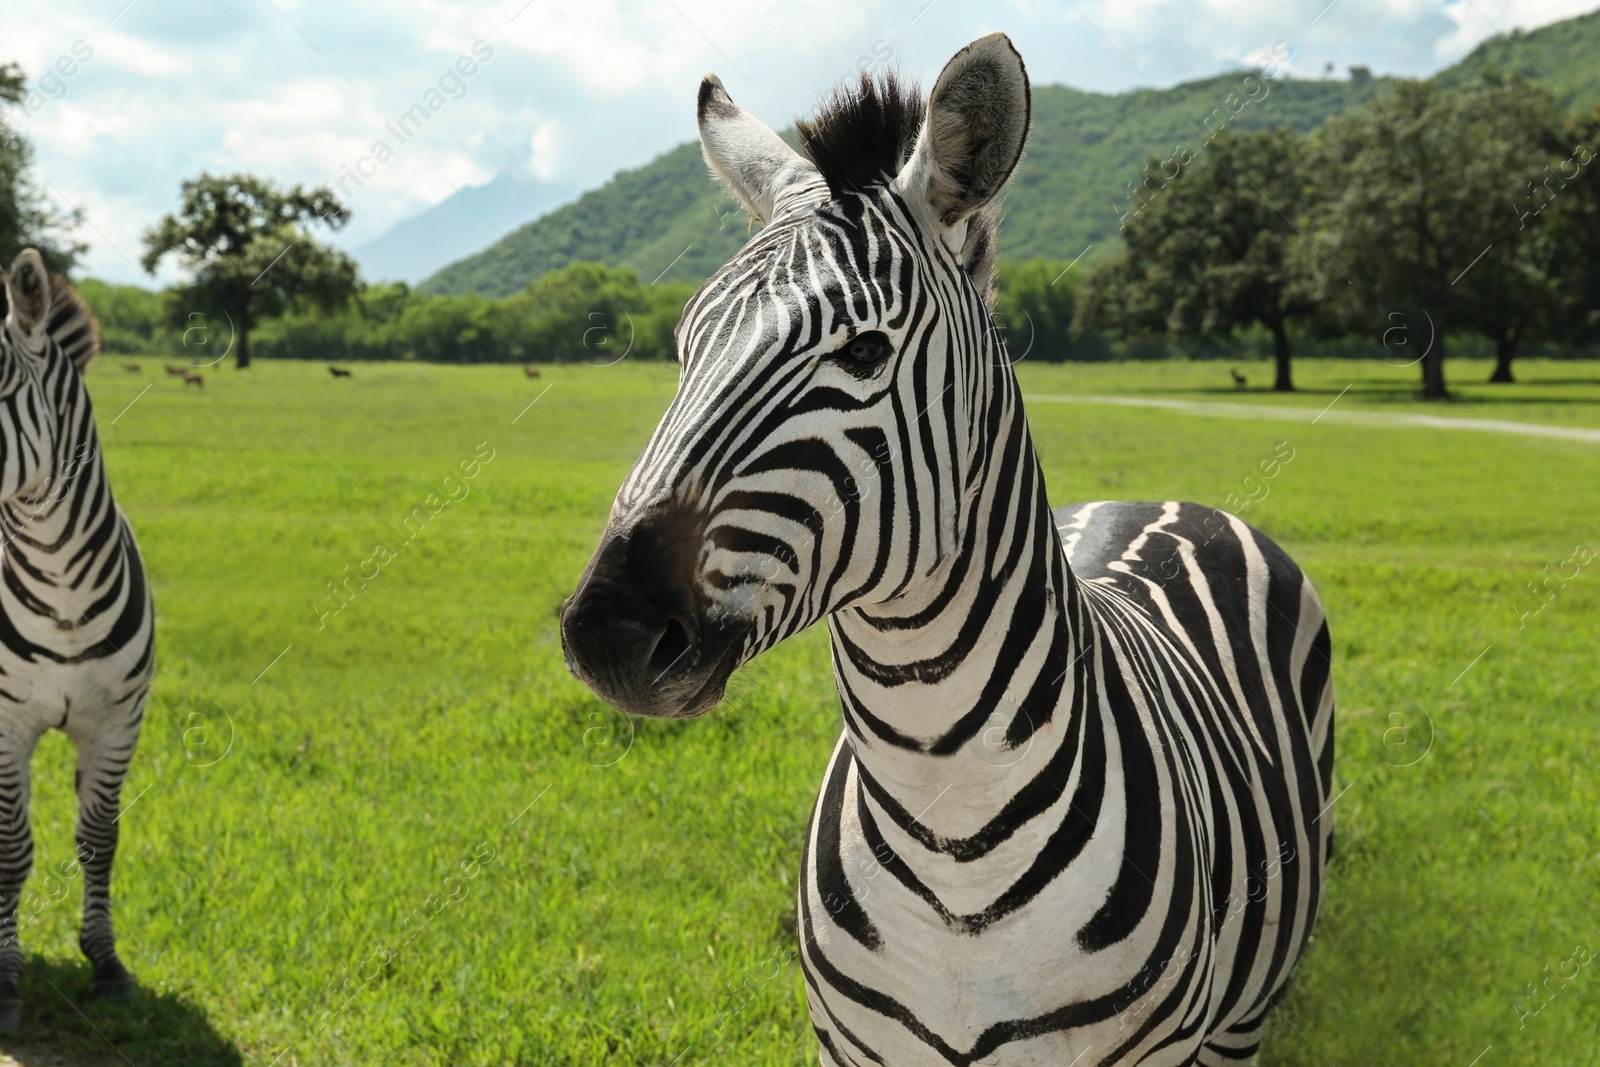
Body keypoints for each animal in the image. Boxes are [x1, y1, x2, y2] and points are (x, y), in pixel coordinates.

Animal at [556, 33, 1331, 1067]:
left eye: (864, 353)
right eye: (686, 348)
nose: (606, 631)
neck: (949, 827)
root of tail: (1158, 498)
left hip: (1244, 1013)